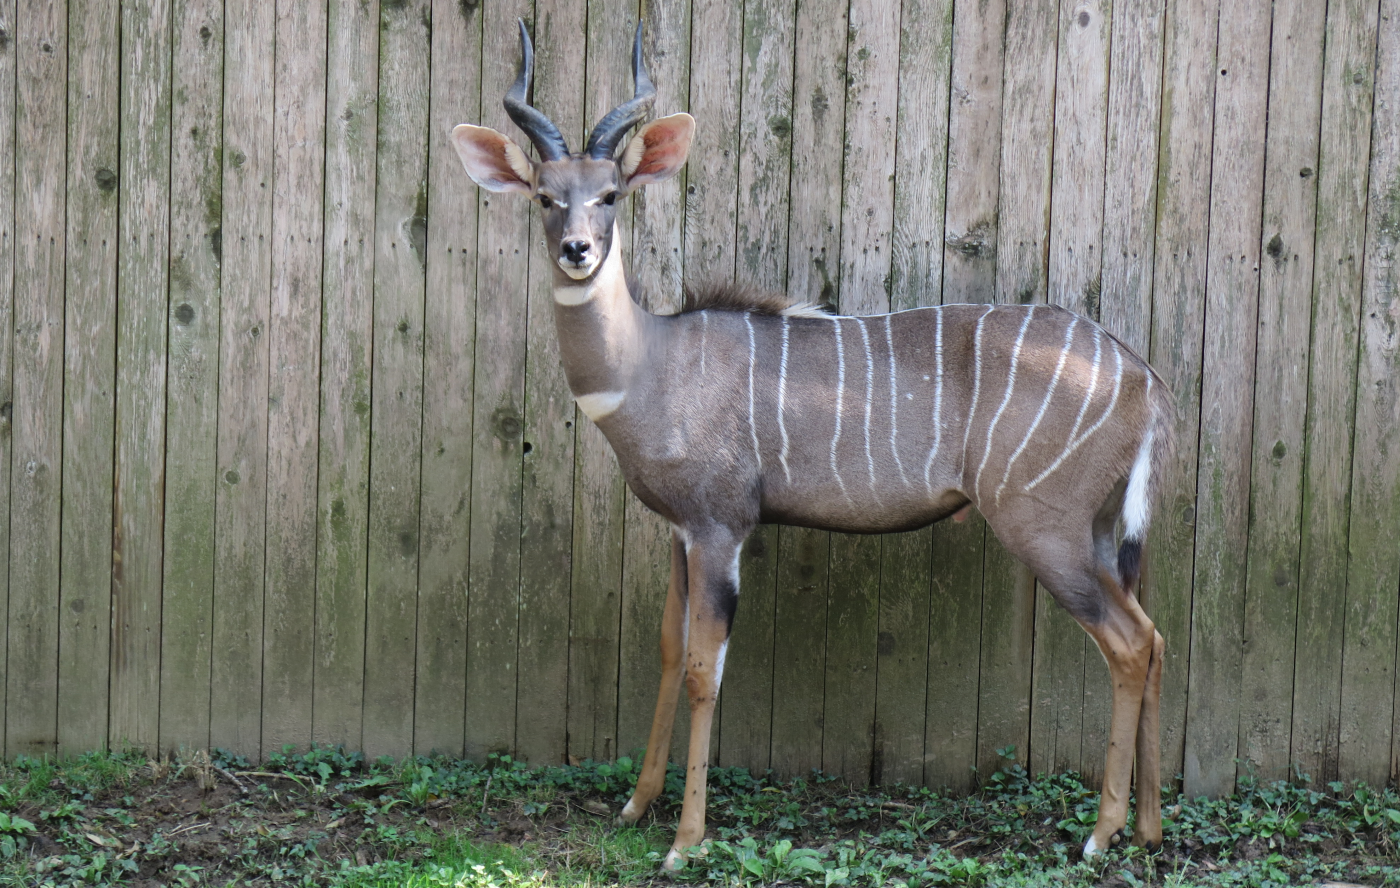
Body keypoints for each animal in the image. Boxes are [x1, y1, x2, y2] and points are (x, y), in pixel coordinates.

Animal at [453, 22, 1176, 873]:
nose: (576, 251)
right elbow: (666, 649)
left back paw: (1101, 835)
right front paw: (635, 805)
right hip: (1095, 530)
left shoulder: (722, 527)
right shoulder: (679, 533)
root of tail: (1142, 377)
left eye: (611, 194)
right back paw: (1149, 828)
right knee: (1154, 635)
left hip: (1046, 529)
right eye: (544, 193)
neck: (654, 366)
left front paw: (685, 842)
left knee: (1128, 644)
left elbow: (703, 669)